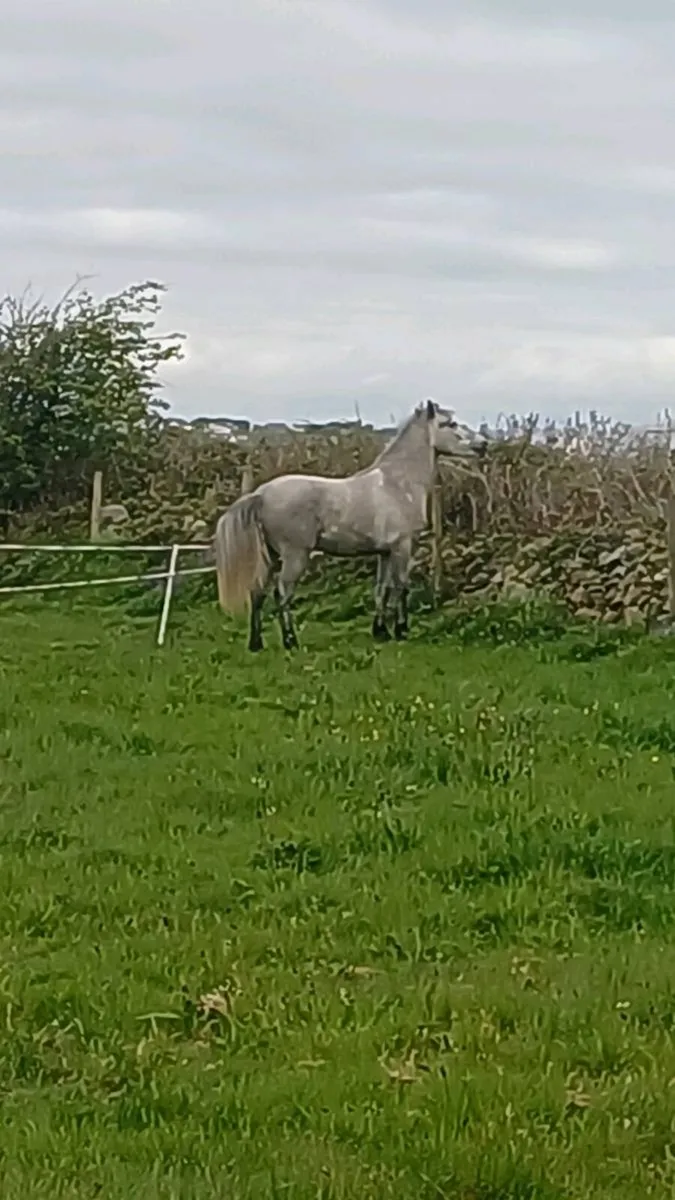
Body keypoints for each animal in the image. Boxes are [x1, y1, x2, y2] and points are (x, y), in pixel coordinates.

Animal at [213, 399, 487, 651]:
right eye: (449, 424)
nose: (483, 445)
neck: (397, 484)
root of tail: (261, 493)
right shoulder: (402, 546)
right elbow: (401, 587)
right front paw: (401, 631)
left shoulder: (384, 552)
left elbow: (382, 589)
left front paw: (381, 631)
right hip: (294, 556)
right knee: (282, 593)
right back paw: (291, 641)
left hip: (270, 555)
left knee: (257, 592)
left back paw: (256, 643)